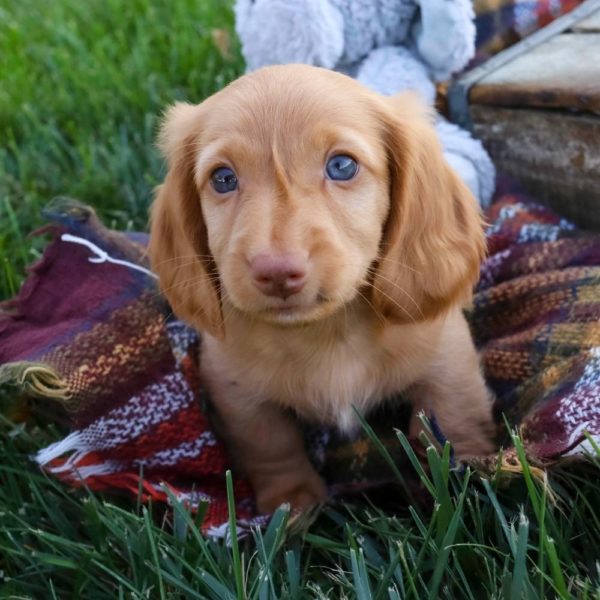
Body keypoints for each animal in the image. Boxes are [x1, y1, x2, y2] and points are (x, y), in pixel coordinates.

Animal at [150, 63, 496, 510]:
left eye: (342, 166)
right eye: (223, 178)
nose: (276, 271)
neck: (327, 330)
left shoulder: (446, 358)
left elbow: (456, 416)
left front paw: (472, 477)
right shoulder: (236, 390)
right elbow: (270, 446)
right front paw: (291, 505)